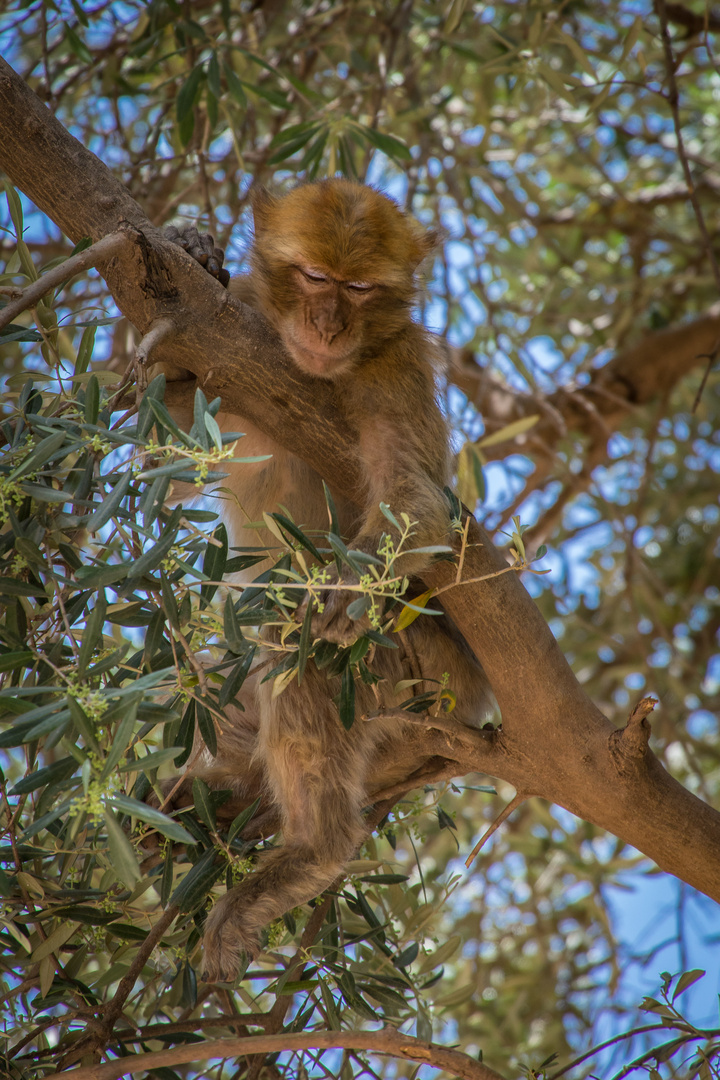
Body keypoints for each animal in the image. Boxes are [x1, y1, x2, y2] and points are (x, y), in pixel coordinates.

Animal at [160, 179, 492, 980]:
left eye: (360, 288)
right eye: (315, 276)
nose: (329, 323)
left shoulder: (393, 369)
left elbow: (418, 502)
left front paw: (348, 582)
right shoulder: (235, 332)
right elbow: (164, 449)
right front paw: (191, 248)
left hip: (412, 675)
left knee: (296, 640)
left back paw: (312, 850)